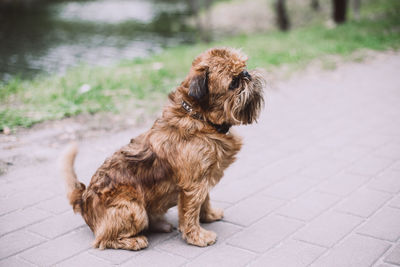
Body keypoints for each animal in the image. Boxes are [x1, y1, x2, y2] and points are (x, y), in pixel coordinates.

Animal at [61, 48, 264, 251]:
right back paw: (134, 240)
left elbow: (204, 200)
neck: (200, 119)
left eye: (244, 68)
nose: (247, 74)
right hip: (133, 209)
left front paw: (208, 216)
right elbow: (191, 212)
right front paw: (197, 236)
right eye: (234, 82)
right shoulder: (193, 185)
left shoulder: (202, 178)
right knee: (104, 239)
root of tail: (84, 199)